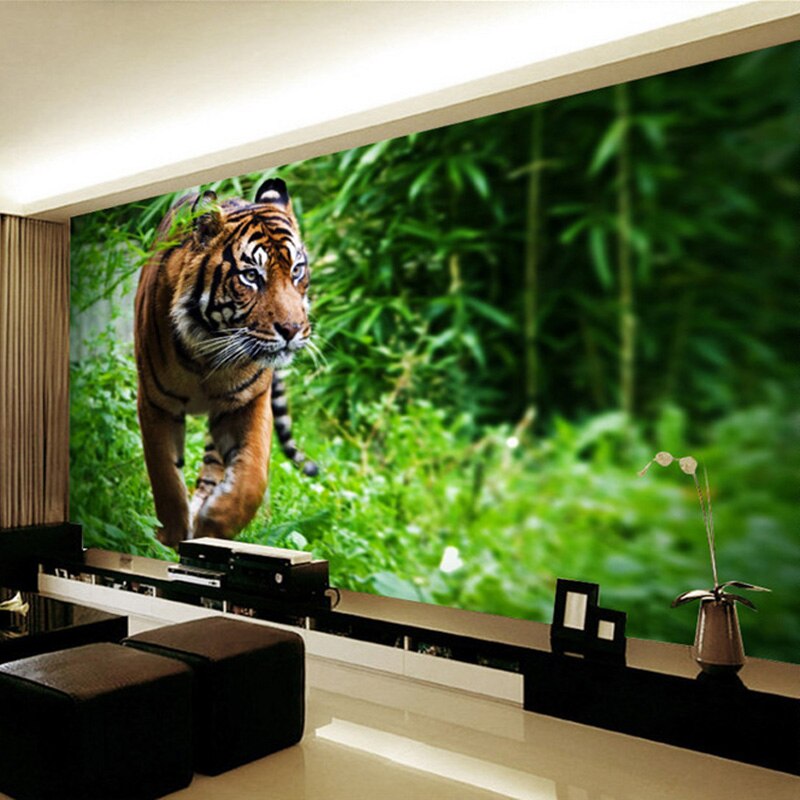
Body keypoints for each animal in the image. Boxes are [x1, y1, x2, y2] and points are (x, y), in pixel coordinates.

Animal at [134, 178, 317, 548]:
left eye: (297, 270)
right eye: (251, 276)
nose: (293, 330)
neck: (208, 355)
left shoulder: (249, 402)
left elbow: (251, 478)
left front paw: (213, 526)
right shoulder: (156, 403)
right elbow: (165, 476)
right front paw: (170, 537)